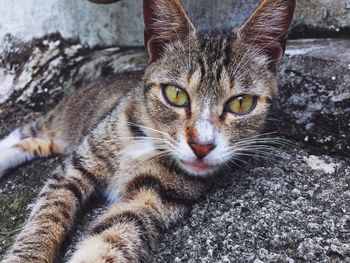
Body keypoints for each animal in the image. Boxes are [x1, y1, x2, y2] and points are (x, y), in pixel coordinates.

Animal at [0, 0, 296, 262]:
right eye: (175, 94)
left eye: (241, 103)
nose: (201, 146)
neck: (147, 137)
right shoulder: (77, 165)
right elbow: (46, 217)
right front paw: (29, 254)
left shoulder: (153, 196)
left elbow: (116, 234)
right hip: (59, 120)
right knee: (21, 134)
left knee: (33, 144)